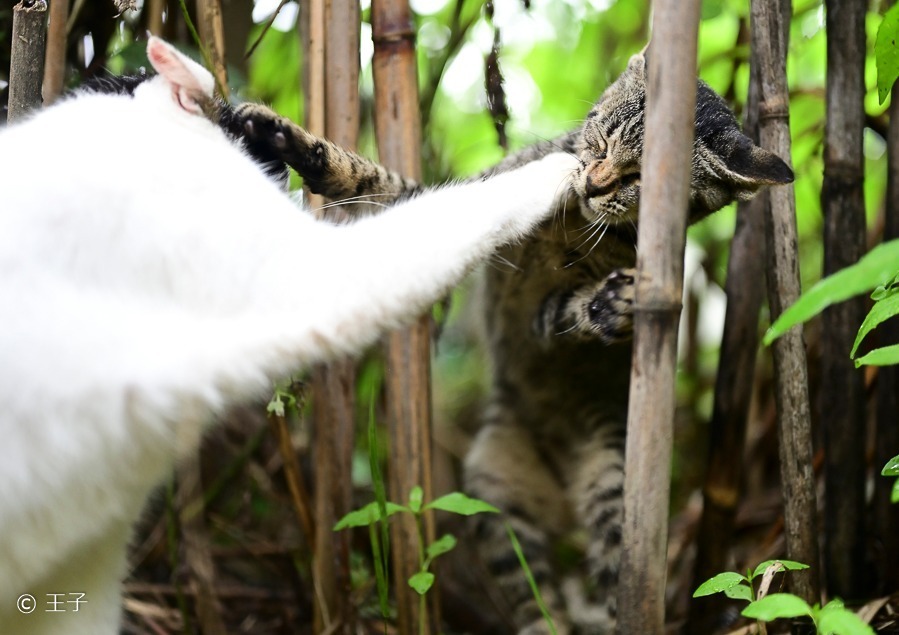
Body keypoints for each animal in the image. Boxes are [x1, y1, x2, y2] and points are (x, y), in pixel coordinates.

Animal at [0, 36, 576, 635]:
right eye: (244, 139)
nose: (275, 153)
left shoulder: (83, 563)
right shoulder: (294, 270)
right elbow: (457, 212)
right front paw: (554, 169)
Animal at [234, 51, 796, 635]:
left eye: (639, 176)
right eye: (600, 138)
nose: (594, 184)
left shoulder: (546, 313)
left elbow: (566, 310)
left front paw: (612, 304)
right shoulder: (471, 196)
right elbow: (375, 177)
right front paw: (286, 140)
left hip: (614, 485)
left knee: (604, 580)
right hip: (494, 490)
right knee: (533, 596)